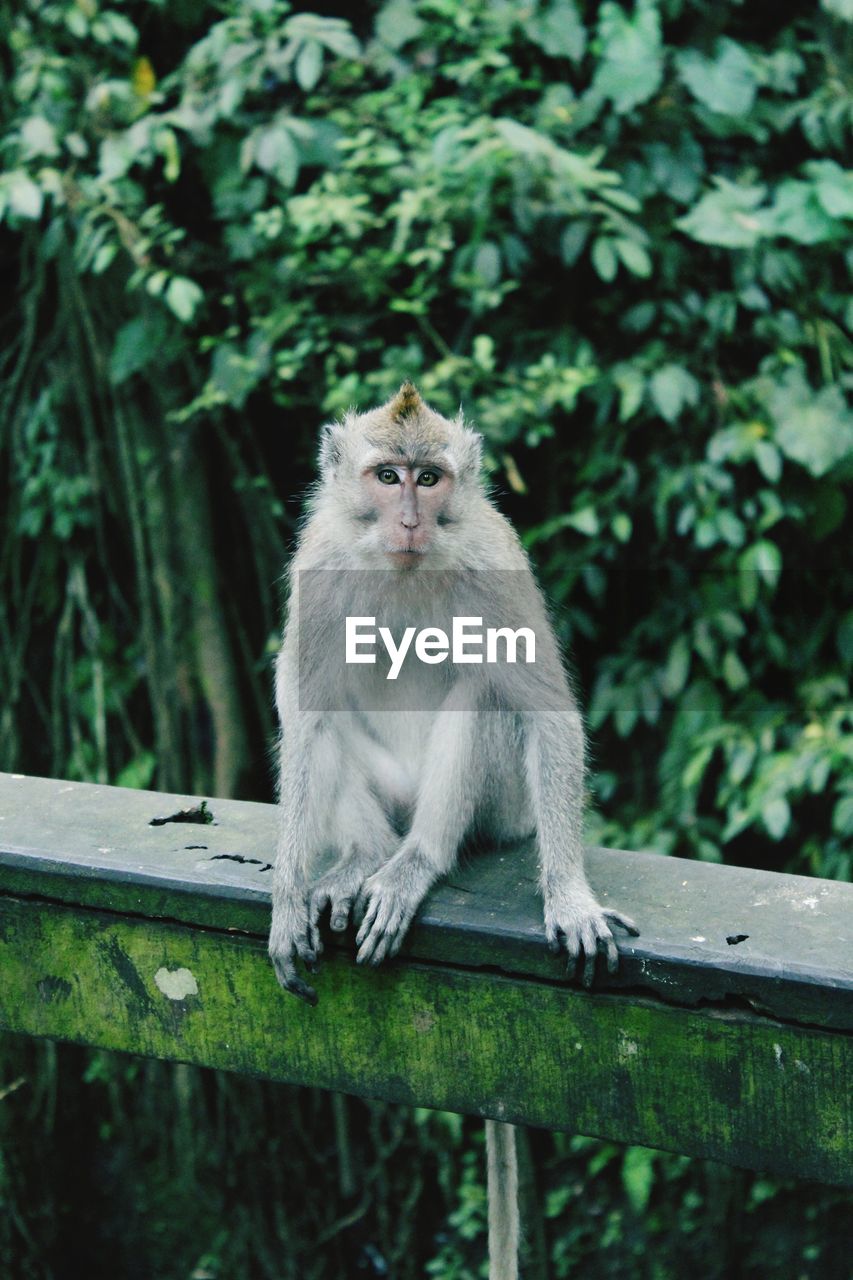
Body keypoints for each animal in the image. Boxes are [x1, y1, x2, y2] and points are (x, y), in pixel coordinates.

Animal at [268, 384, 635, 1280]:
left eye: (429, 478)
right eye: (387, 475)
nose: (408, 517)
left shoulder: (494, 559)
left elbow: (540, 702)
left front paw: (569, 899)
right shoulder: (317, 561)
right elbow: (306, 703)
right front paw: (287, 901)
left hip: (501, 805)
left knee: (483, 688)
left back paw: (415, 864)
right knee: (311, 696)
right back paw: (361, 859)